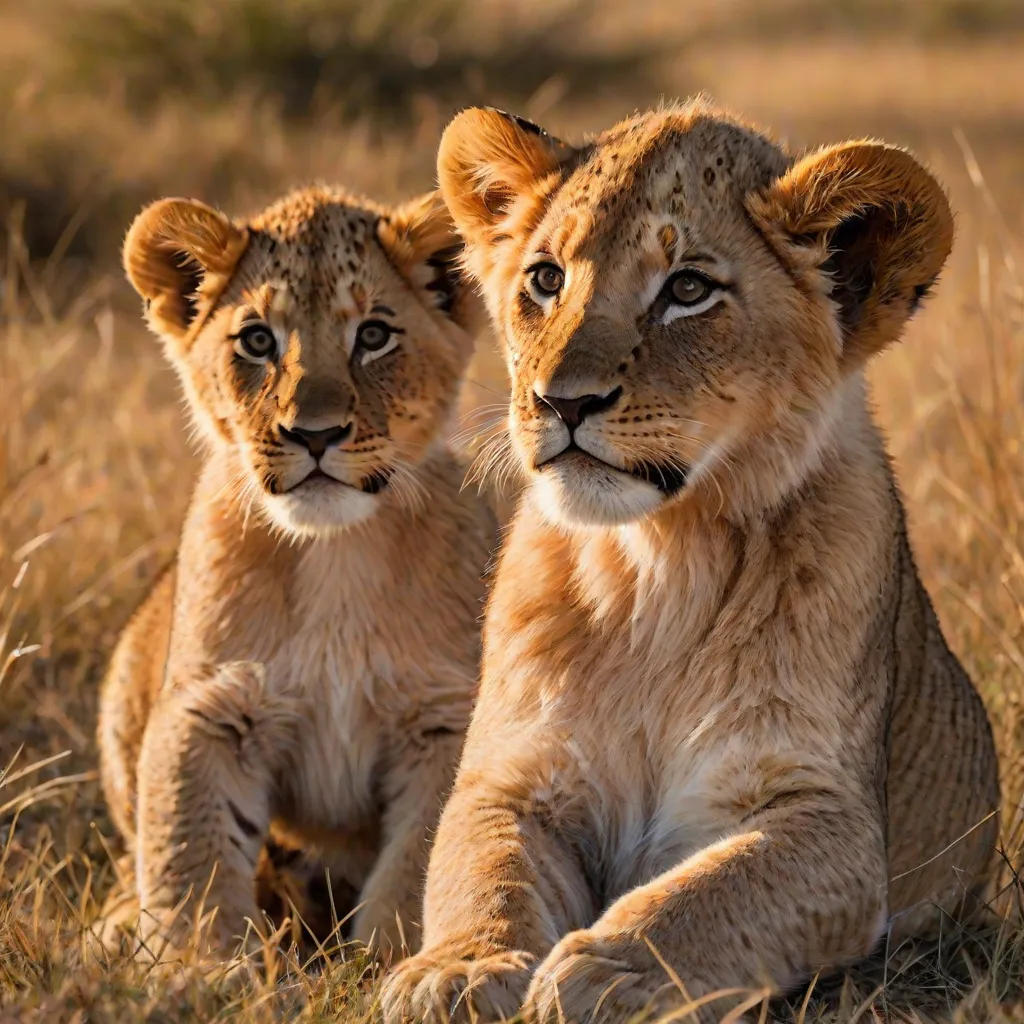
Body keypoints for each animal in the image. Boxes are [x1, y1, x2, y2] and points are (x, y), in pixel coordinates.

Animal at [96, 186, 494, 963]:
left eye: (374, 335)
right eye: (257, 341)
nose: (314, 435)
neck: (333, 553)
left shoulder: (443, 717)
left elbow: (418, 860)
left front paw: (384, 964)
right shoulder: (212, 704)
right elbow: (188, 849)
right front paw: (195, 967)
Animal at [380, 102, 1001, 1022]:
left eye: (688, 290)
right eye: (545, 279)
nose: (560, 402)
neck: (659, 567)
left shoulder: (831, 820)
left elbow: (709, 897)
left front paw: (615, 974)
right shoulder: (510, 781)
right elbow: (485, 874)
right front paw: (458, 969)